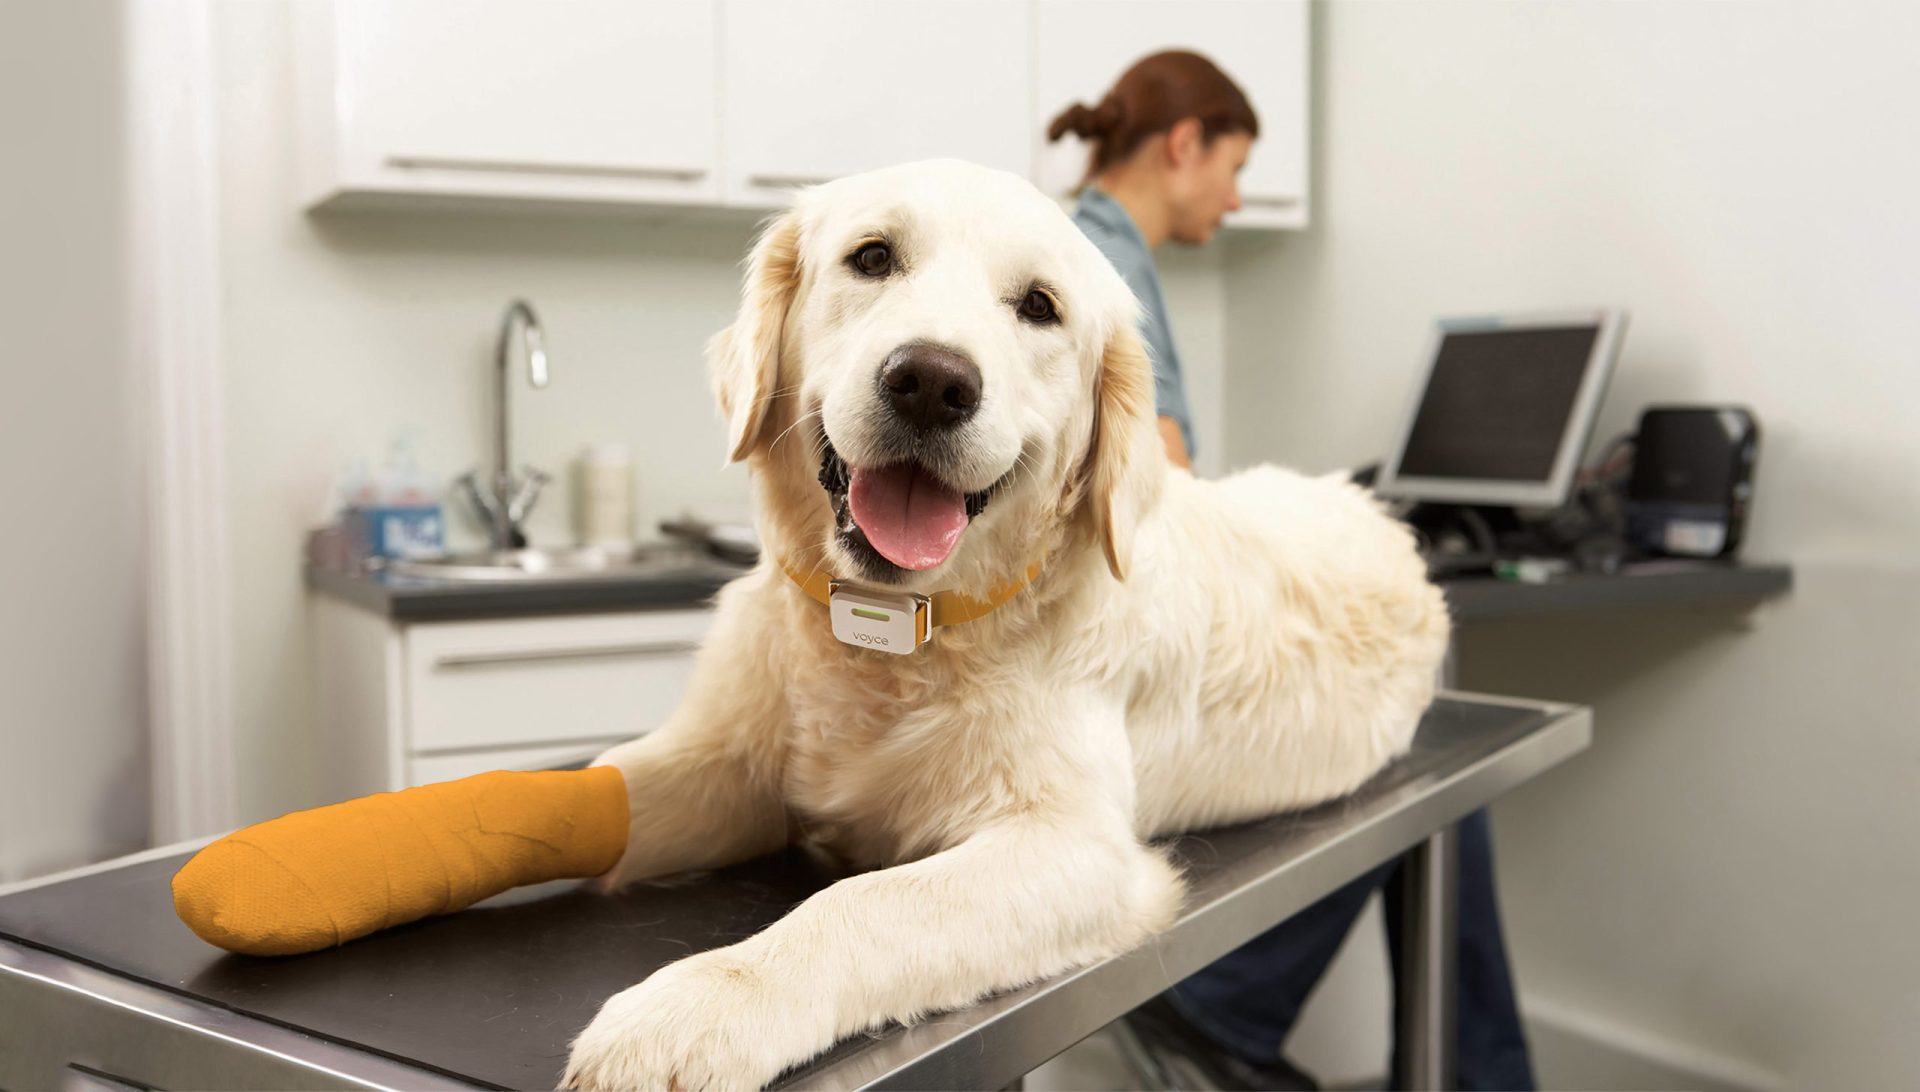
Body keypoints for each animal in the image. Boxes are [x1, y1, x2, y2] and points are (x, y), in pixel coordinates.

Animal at [560, 157, 1443, 1082]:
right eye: (872, 257)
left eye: (1040, 307)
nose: (932, 381)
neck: (900, 632)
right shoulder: (723, 763)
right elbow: (602, 789)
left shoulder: (1076, 848)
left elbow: (864, 903)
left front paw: (697, 1006)